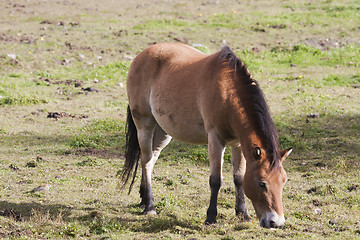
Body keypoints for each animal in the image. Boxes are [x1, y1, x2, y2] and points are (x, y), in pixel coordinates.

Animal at [122, 43, 292, 229]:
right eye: (262, 183)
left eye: (283, 181)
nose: (276, 222)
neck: (228, 91)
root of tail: (140, 56)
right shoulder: (215, 140)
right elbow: (216, 180)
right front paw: (211, 217)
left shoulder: (238, 144)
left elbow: (239, 178)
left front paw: (243, 214)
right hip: (144, 125)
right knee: (146, 160)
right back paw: (150, 205)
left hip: (162, 132)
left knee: (151, 159)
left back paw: (143, 198)